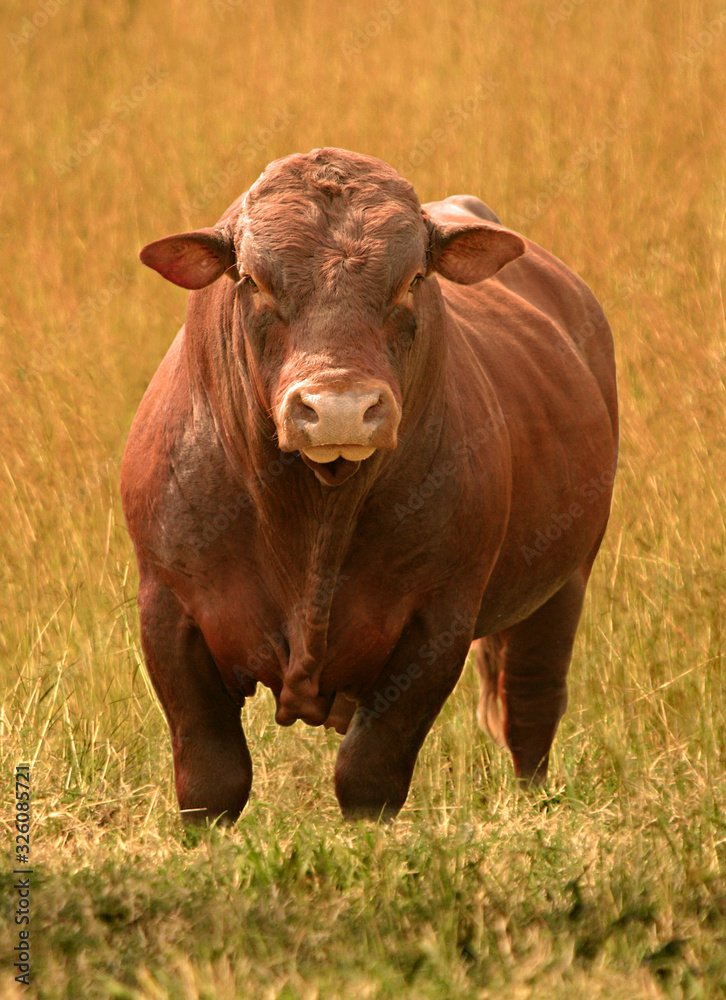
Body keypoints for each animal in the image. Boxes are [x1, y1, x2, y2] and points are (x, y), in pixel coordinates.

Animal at [121, 146, 620, 820]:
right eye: (253, 280)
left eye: (413, 280)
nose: (339, 408)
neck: (314, 519)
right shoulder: (168, 606)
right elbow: (211, 777)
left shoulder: (437, 619)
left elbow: (369, 772)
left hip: (563, 584)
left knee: (531, 706)